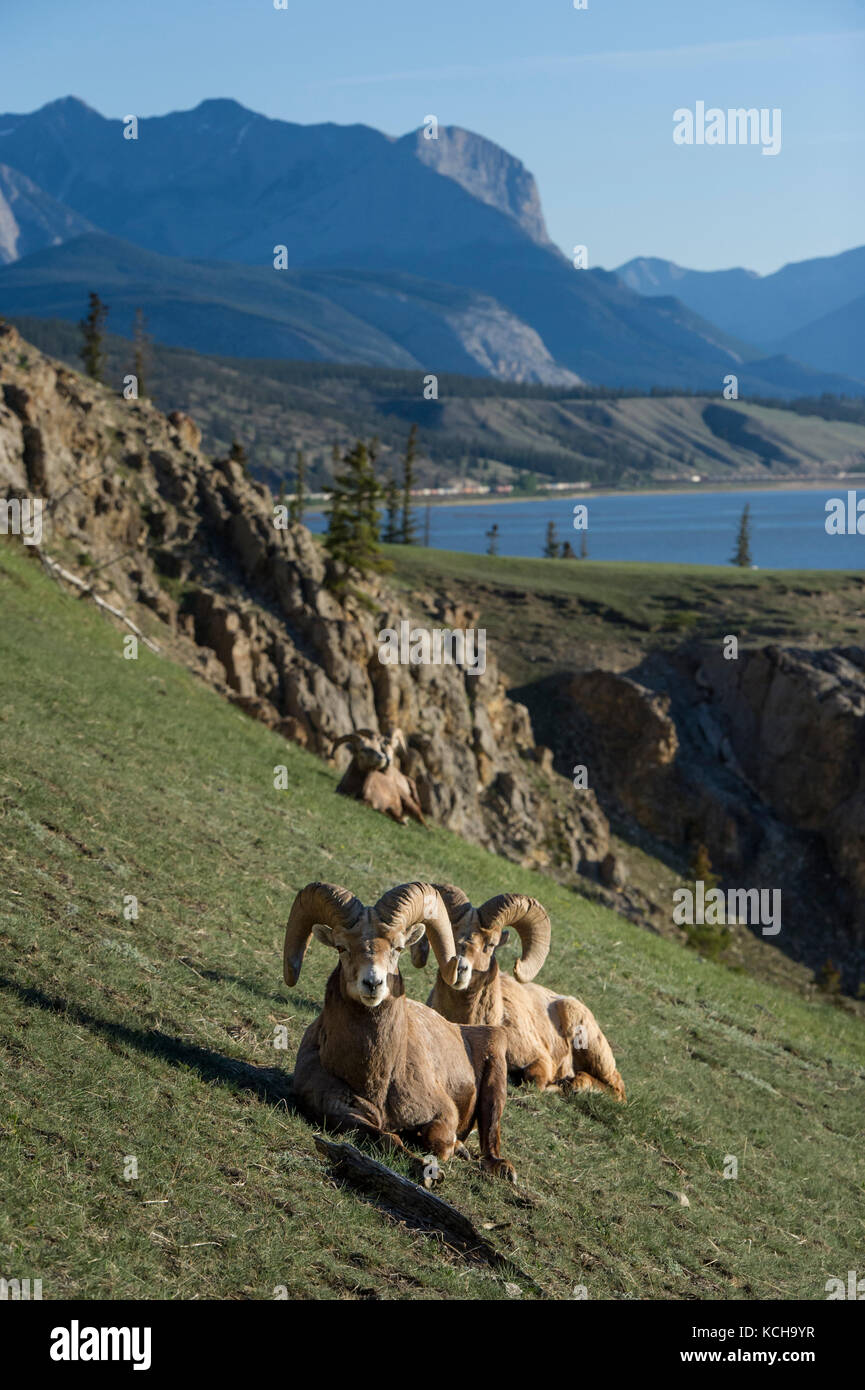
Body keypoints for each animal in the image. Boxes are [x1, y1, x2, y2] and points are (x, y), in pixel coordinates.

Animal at [283, 880, 516, 1182]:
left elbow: (439, 1142)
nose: (373, 983)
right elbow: (388, 1137)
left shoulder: (443, 1115)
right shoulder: (340, 1112)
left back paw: (499, 1167)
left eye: (398, 948)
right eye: (341, 947)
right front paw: (426, 1172)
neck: (377, 1079)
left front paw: (439, 1155)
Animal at [414, 884, 626, 1101]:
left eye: (490, 944)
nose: (460, 969)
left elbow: (533, 1081)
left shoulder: (540, 1060)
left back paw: (576, 1085)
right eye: (450, 935)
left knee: (616, 1088)